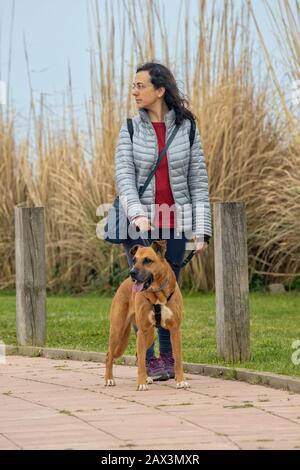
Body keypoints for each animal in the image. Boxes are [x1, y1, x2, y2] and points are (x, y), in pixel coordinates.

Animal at [105, 241, 190, 392]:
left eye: (147, 260)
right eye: (134, 260)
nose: (132, 272)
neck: (158, 294)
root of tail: (124, 282)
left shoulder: (175, 331)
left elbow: (178, 360)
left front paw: (180, 381)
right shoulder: (142, 331)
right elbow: (141, 363)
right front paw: (141, 383)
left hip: (149, 335)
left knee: (139, 355)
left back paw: (147, 377)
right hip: (118, 331)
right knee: (110, 355)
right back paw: (109, 379)